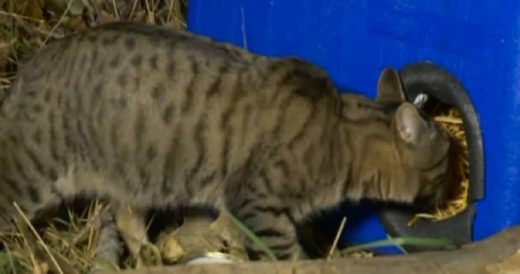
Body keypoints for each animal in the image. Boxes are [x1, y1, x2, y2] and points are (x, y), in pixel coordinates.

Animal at [0, 22, 448, 262]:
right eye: (447, 160)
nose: (452, 186)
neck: (341, 134)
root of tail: (26, 69)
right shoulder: (259, 205)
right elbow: (286, 256)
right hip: (31, 176)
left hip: (136, 176)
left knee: (126, 215)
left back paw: (148, 255)